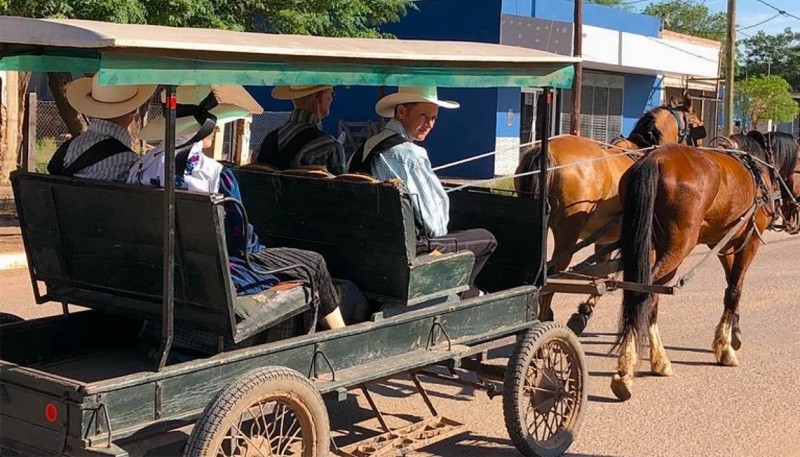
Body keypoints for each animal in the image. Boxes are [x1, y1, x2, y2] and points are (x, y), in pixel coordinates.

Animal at [520, 93, 700, 334]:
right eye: (697, 126)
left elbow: (601, 274)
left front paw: (583, 312)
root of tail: (546, 151)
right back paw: (544, 321)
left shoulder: (604, 240)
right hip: (566, 232)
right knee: (552, 275)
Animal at [612, 131, 800, 400]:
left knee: (643, 292)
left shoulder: (724, 244)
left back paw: (655, 359)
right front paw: (725, 349)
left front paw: (732, 335)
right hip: (678, 246)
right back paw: (628, 368)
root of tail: (653, 159)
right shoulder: (750, 241)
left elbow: (730, 287)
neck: (759, 167)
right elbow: (735, 291)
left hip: (647, 244)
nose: (794, 217)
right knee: (642, 292)